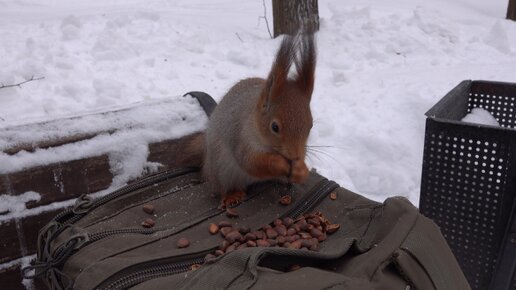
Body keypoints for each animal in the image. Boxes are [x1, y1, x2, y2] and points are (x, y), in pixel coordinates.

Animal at [187, 34, 314, 208]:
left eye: (311, 125)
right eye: (274, 127)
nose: (295, 156)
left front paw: (302, 170)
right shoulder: (241, 137)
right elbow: (250, 162)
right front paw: (279, 164)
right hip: (221, 167)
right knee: (222, 187)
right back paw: (231, 195)